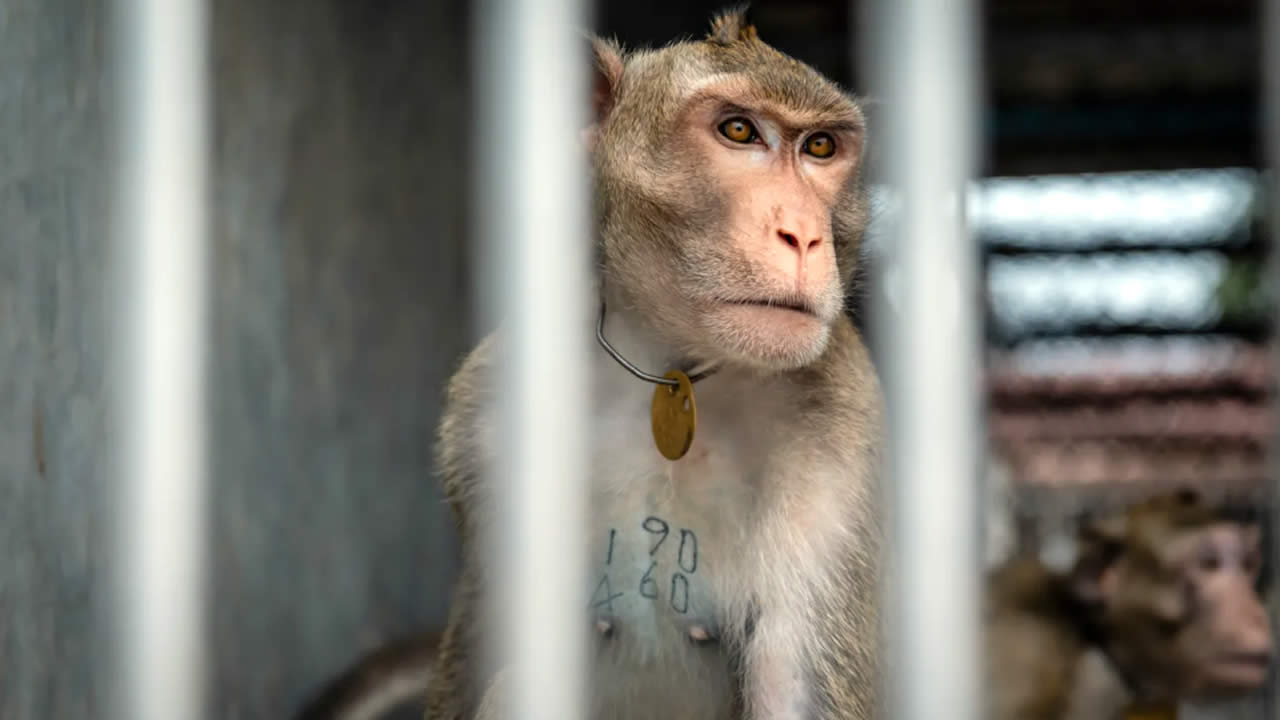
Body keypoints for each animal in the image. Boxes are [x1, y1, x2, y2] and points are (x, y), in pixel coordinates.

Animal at [423, 7, 882, 720]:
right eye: (739, 131)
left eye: (821, 148)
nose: (803, 236)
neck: (673, 373)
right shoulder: (484, 420)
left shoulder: (839, 438)